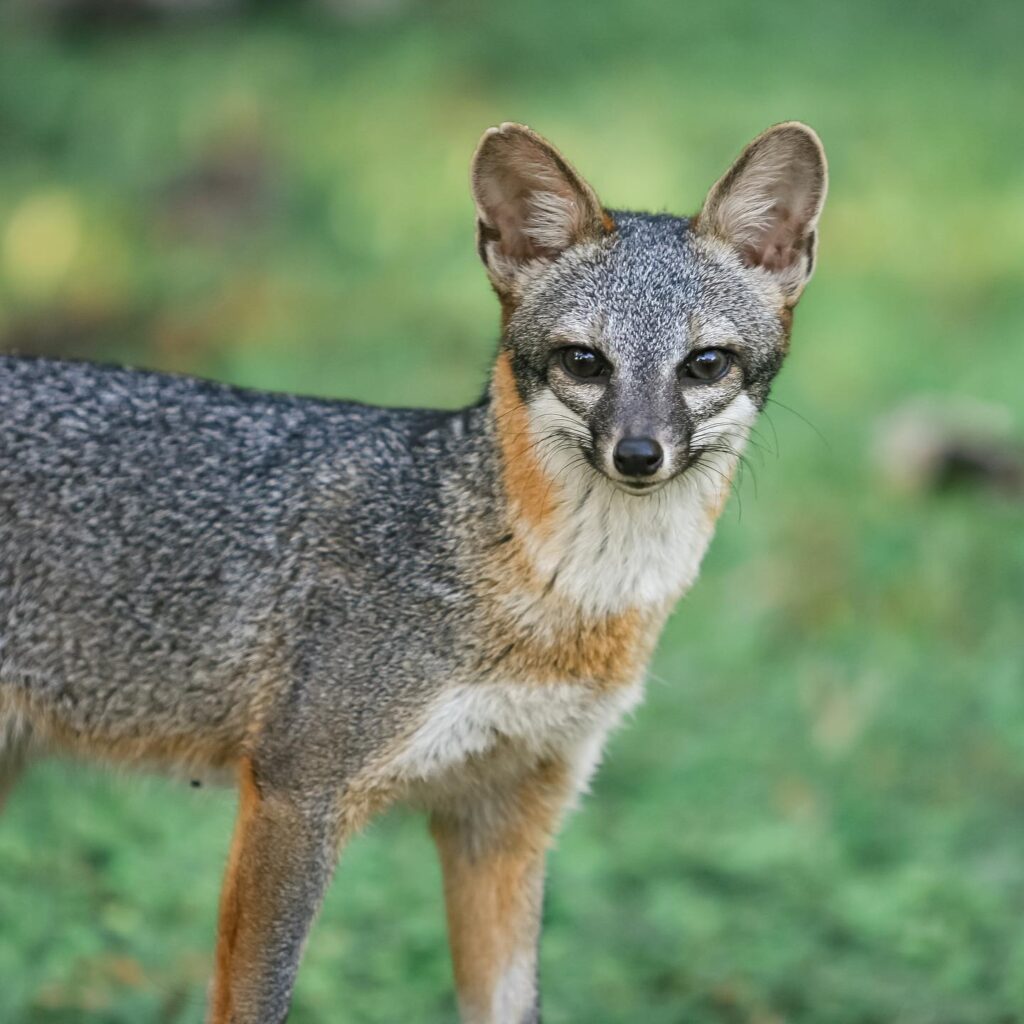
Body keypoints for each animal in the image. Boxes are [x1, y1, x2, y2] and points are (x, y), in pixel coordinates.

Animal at [0, 121, 826, 1023]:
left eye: (705, 364)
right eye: (584, 361)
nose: (638, 454)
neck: (553, 602)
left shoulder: (503, 818)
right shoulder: (297, 793)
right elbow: (256, 1001)